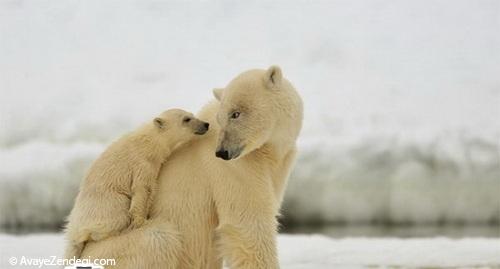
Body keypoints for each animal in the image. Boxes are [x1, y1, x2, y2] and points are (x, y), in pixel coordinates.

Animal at [80, 65, 302, 268]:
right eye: (224, 116)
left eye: (236, 113)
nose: (222, 152)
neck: (268, 151)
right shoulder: (234, 168)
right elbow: (247, 224)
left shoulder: (278, 165)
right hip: (116, 248)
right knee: (160, 237)